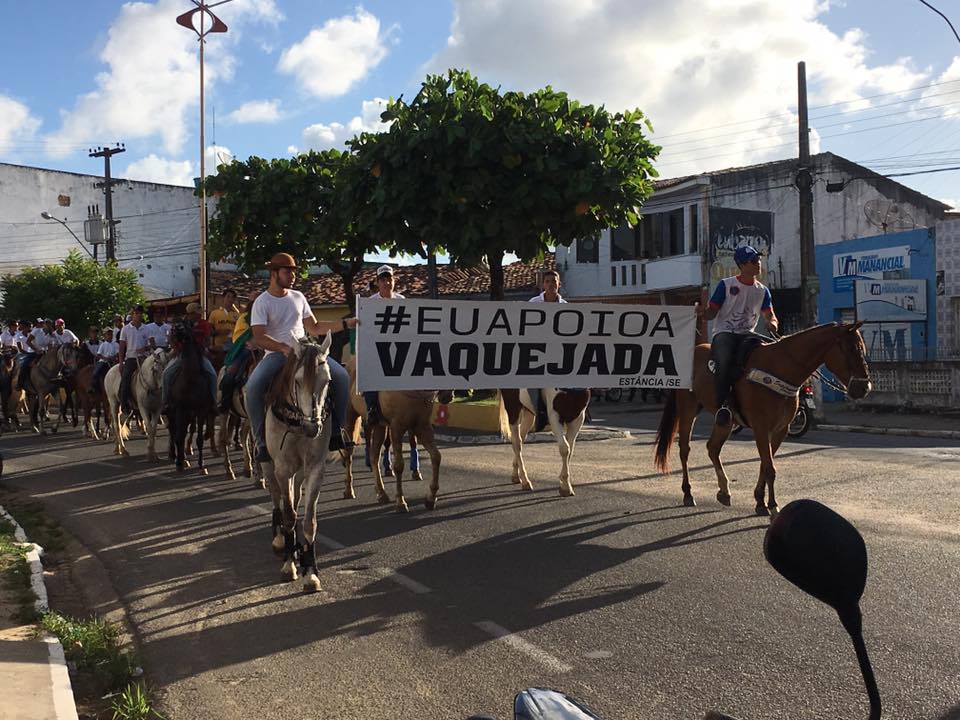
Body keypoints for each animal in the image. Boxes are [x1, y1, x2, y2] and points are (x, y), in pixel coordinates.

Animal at [258, 334, 338, 592]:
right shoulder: (283, 469)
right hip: (268, 465)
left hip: (299, 471)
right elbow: (290, 515)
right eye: (298, 380)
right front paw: (289, 565)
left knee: (294, 498)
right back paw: (280, 540)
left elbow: (308, 520)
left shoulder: (315, 468)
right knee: (277, 498)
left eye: (327, 380)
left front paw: (310, 571)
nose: (313, 427)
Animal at [652, 322, 872, 516]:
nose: (864, 387)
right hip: (688, 409)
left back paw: (724, 491)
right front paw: (772, 505)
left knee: (712, 447)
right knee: (685, 449)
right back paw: (688, 493)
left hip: (726, 421)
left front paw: (760, 501)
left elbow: (765, 465)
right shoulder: (761, 427)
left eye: (863, 349)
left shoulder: (780, 429)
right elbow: (770, 468)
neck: (780, 369)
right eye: (851, 350)